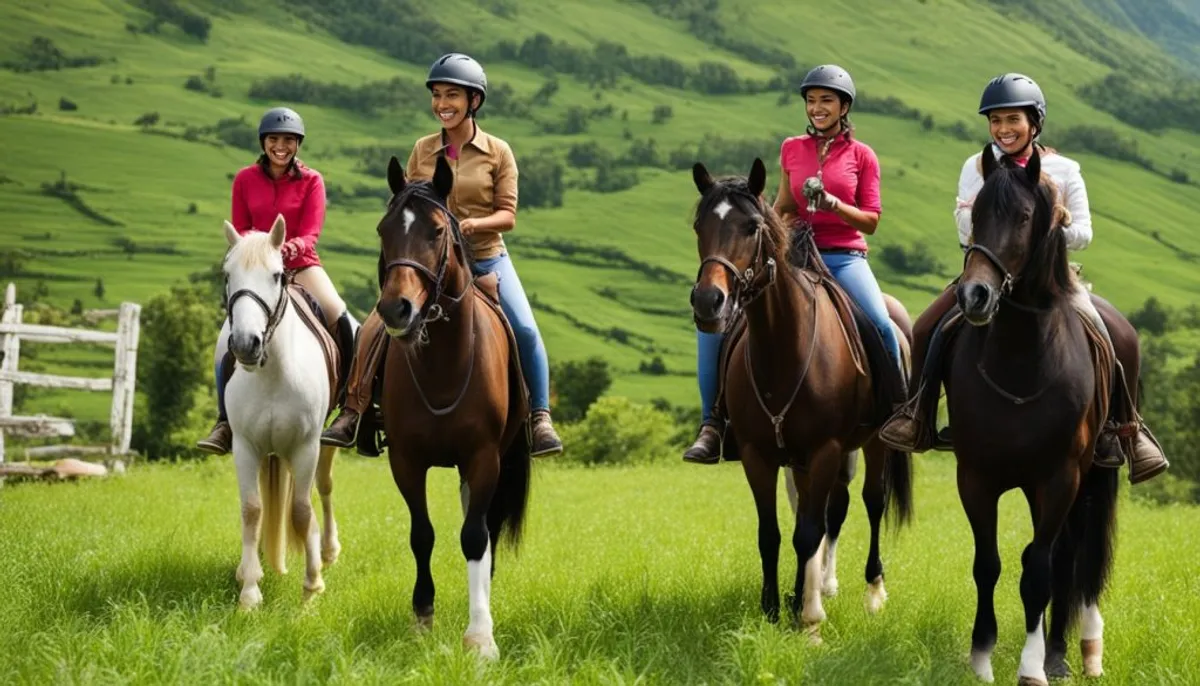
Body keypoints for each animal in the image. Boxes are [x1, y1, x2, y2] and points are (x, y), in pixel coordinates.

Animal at [219, 215, 340, 611]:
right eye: (227, 275)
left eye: (276, 275)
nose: (245, 344)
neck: (272, 373)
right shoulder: (245, 446)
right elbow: (252, 509)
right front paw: (250, 589)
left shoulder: (305, 446)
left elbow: (302, 511)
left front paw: (311, 589)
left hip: (324, 441)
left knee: (324, 486)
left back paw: (328, 551)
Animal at [372, 152, 528, 657]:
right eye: (383, 230)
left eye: (437, 231)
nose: (396, 309)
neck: (443, 363)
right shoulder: (406, 459)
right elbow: (422, 535)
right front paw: (422, 618)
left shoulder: (482, 457)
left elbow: (476, 536)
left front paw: (481, 637)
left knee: (485, 530)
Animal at [691, 157, 912, 638]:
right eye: (699, 225)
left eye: (752, 227)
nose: (708, 301)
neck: (783, 348)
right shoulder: (758, 454)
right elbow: (774, 534)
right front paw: (774, 608)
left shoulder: (825, 449)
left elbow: (808, 533)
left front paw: (808, 619)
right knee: (824, 511)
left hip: (873, 443)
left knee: (868, 503)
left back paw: (871, 592)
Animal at [940, 143, 1118, 681]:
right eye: (975, 213)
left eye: (1022, 216)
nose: (975, 295)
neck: (1022, 359)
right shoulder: (976, 476)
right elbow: (988, 564)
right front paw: (981, 657)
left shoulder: (1058, 478)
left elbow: (1041, 569)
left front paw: (1032, 666)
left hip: (1090, 478)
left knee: (1071, 557)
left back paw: (1066, 653)